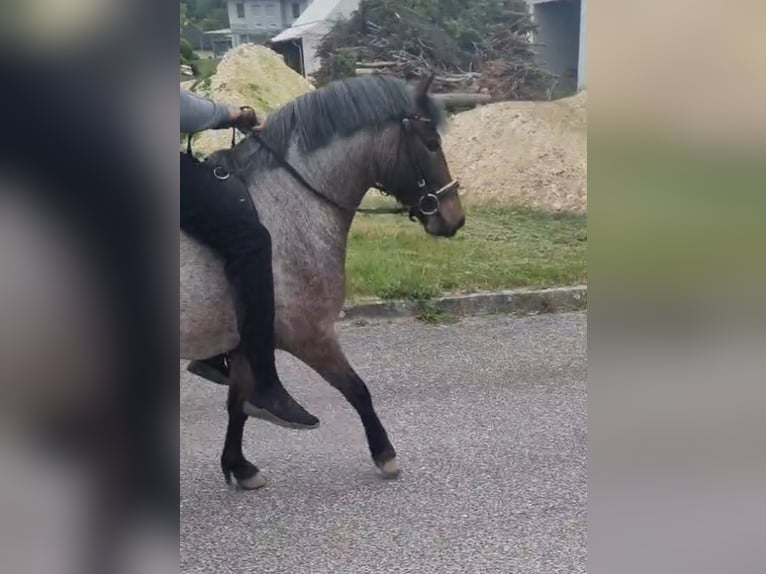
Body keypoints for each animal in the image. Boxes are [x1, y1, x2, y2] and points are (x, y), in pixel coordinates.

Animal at [180, 72, 466, 489]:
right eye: (431, 143)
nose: (454, 217)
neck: (287, 204)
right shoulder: (311, 335)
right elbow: (357, 389)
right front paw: (385, 455)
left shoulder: (247, 344)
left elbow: (238, 404)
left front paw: (239, 466)